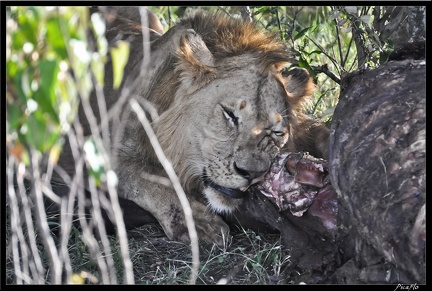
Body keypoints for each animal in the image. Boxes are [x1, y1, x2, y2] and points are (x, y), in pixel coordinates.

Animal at [55, 8, 330, 246]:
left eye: (277, 133)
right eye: (230, 115)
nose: (251, 174)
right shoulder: (100, 154)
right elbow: (153, 180)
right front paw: (199, 224)